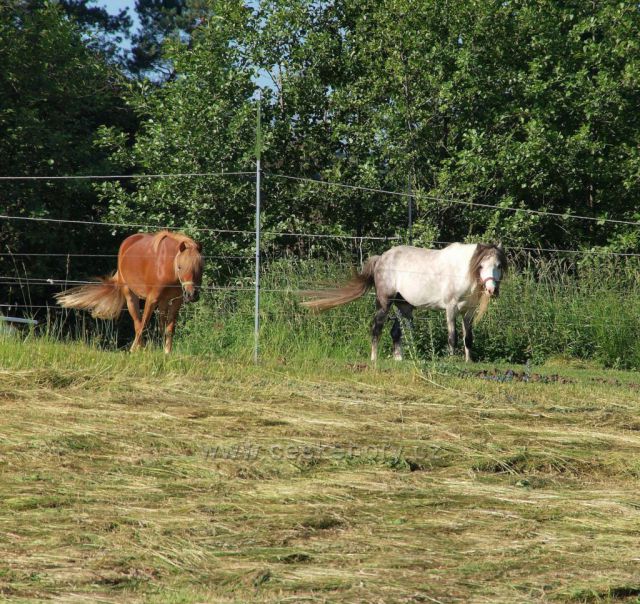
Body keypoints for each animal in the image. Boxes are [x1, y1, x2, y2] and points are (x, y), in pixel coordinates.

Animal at [55, 230, 203, 353]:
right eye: (180, 267)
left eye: (200, 267)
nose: (192, 295)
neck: (167, 266)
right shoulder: (152, 299)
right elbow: (143, 324)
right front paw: (133, 351)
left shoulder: (176, 301)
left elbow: (169, 328)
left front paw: (167, 353)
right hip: (131, 297)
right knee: (138, 323)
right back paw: (139, 348)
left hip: (163, 302)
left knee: (158, 326)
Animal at [302, 243, 507, 362]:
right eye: (481, 266)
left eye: (498, 265)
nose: (492, 290)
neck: (461, 272)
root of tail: (381, 258)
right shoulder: (451, 308)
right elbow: (453, 337)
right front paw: (451, 361)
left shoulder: (469, 311)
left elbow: (468, 338)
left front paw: (468, 362)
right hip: (385, 303)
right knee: (376, 329)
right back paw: (374, 359)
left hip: (404, 306)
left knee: (395, 332)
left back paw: (399, 359)